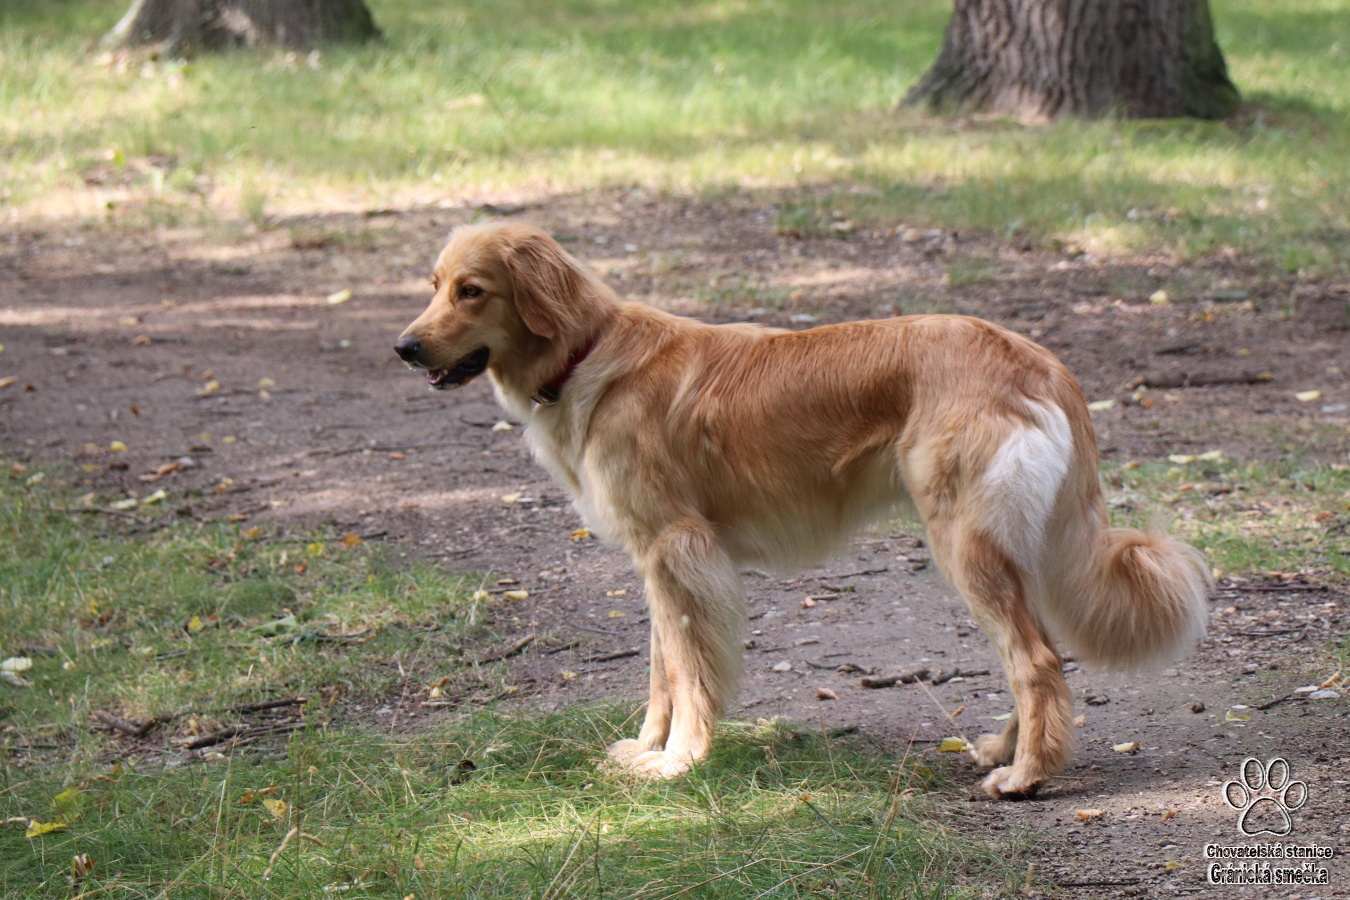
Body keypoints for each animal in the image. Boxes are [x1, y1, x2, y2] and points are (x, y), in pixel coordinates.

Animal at [395, 222, 1210, 799]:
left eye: (472, 290)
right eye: (433, 285)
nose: (404, 347)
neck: (587, 354)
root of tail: (1039, 360)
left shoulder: (679, 550)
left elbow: (688, 673)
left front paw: (678, 762)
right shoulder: (655, 561)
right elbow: (661, 671)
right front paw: (648, 748)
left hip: (964, 544)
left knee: (1035, 658)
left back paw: (1027, 776)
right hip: (1010, 548)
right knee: (1043, 654)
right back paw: (1010, 750)